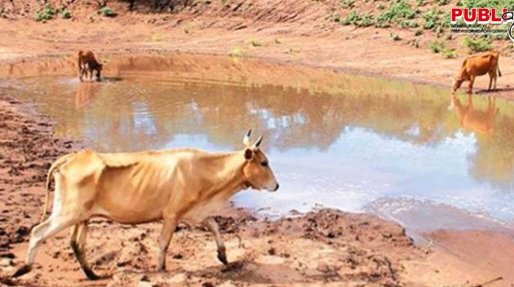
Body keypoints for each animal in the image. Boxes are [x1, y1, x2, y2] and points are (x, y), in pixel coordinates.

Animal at [12, 132, 278, 282]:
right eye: (264, 162)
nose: (276, 185)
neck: (206, 171)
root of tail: (73, 157)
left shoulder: (195, 212)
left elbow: (214, 225)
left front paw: (223, 255)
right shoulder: (172, 214)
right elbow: (164, 243)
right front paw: (161, 269)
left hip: (82, 216)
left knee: (76, 243)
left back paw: (92, 274)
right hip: (67, 212)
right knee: (38, 231)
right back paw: (23, 269)